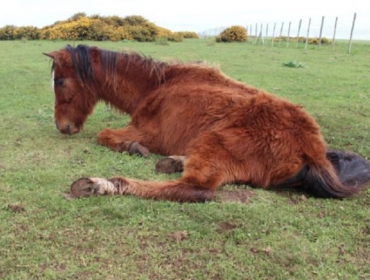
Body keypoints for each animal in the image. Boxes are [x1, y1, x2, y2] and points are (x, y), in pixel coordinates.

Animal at [44, 44, 370, 201]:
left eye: (60, 81)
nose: (62, 127)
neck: (158, 85)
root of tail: (312, 150)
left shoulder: (145, 131)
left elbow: (104, 135)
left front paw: (135, 149)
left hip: (213, 142)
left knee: (196, 190)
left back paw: (102, 185)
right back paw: (175, 160)